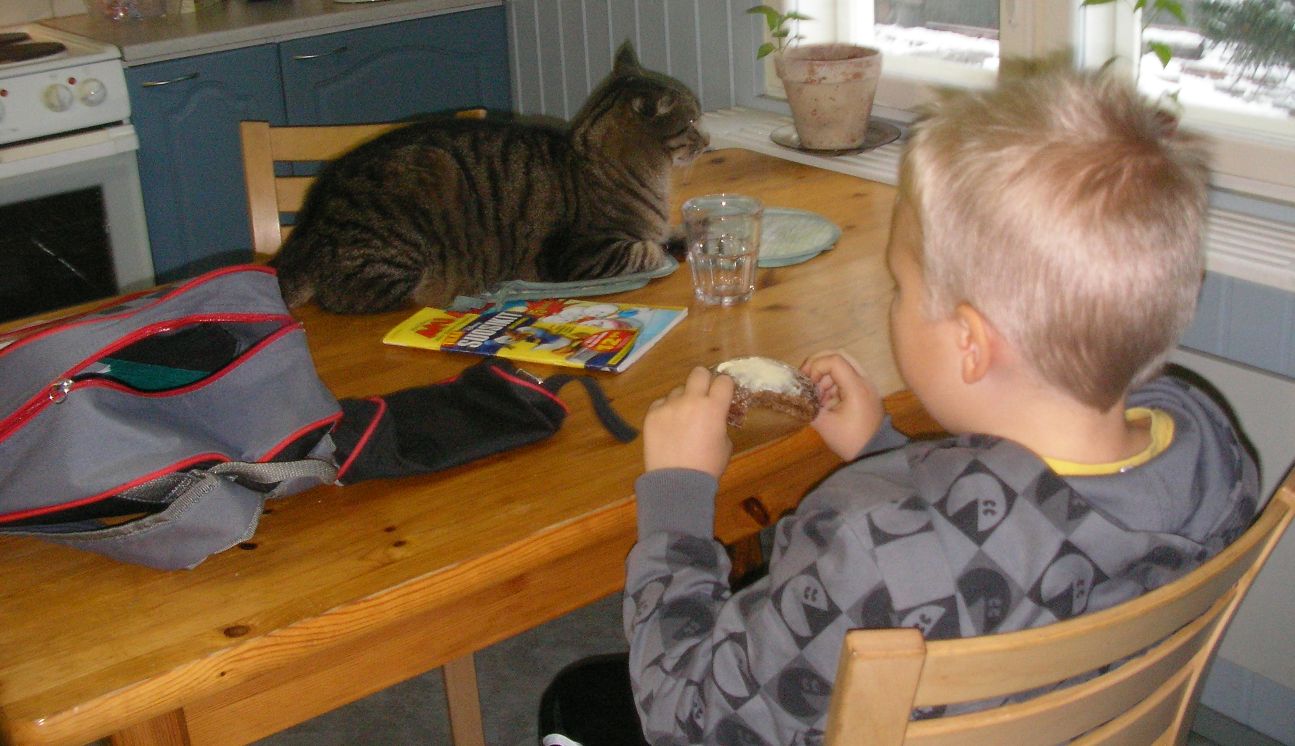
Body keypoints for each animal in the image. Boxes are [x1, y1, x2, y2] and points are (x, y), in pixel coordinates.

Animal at [270, 43, 709, 315]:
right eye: (690, 122)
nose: (706, 139)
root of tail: (307, 225)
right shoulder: (580, 255)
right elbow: (645, 251)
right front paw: (667, 250)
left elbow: (671, 234)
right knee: (353, 298)